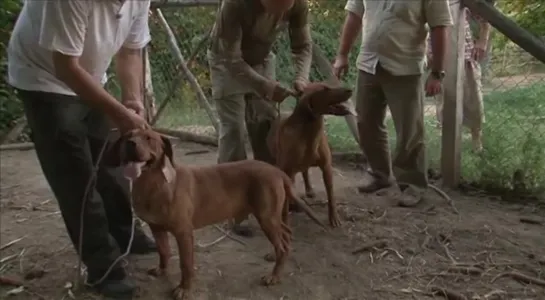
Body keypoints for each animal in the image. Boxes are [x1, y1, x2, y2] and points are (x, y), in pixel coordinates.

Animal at [104, 129, 326, 300]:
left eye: (149, 138)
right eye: (127, 136)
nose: (131, 143)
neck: (153, 184)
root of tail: (276, 170)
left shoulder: (184, 233)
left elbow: (186, 264)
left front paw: (184, 289)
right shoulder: (156, 228)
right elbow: (163, 251)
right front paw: (162, 270)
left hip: (267, 217)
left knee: (282, 243)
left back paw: (275, 276)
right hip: (272, 216)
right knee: (286, 235)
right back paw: (275, 256)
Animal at [266, 82, 352, 227]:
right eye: (324, 89)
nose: (350, 89)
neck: (310, 134)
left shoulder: (327, 167)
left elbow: (331, 196)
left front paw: (334, 218)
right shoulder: (287, 170)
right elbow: (285, 204)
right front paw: (285, 220)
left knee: (305, 172)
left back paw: (309, 190)